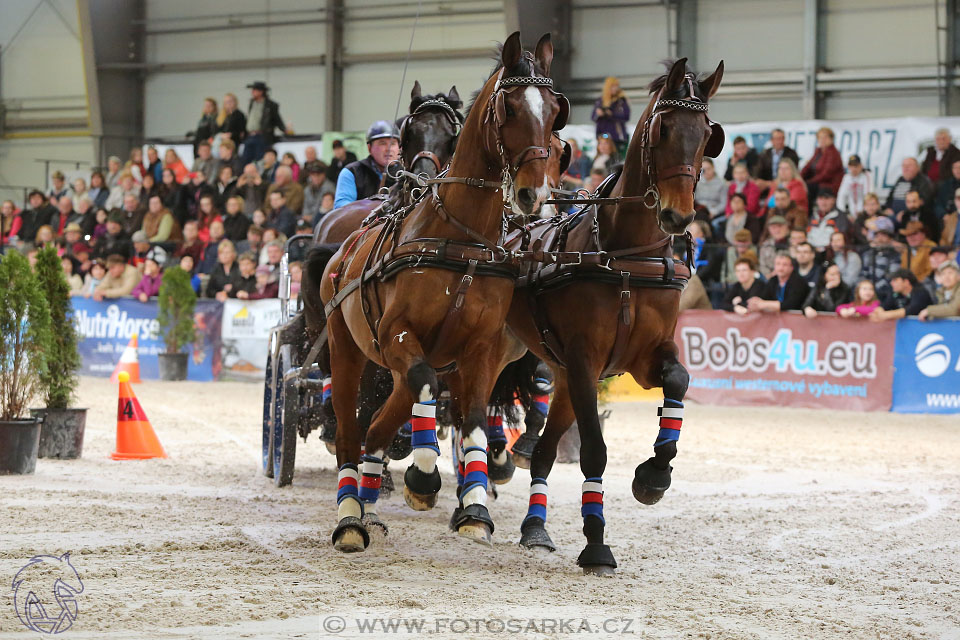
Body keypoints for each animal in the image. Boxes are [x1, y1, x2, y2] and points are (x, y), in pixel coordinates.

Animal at [506, 58, 724, 576]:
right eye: (664, 129)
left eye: (708, 135)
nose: (678, 216)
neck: (626, 258)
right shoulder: (586, 361)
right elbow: (594, 451)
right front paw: (596, 544)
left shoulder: (642, 357)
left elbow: (678, 381)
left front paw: (654, 475)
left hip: (560, 373)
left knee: (543, 452)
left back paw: (535, 527)